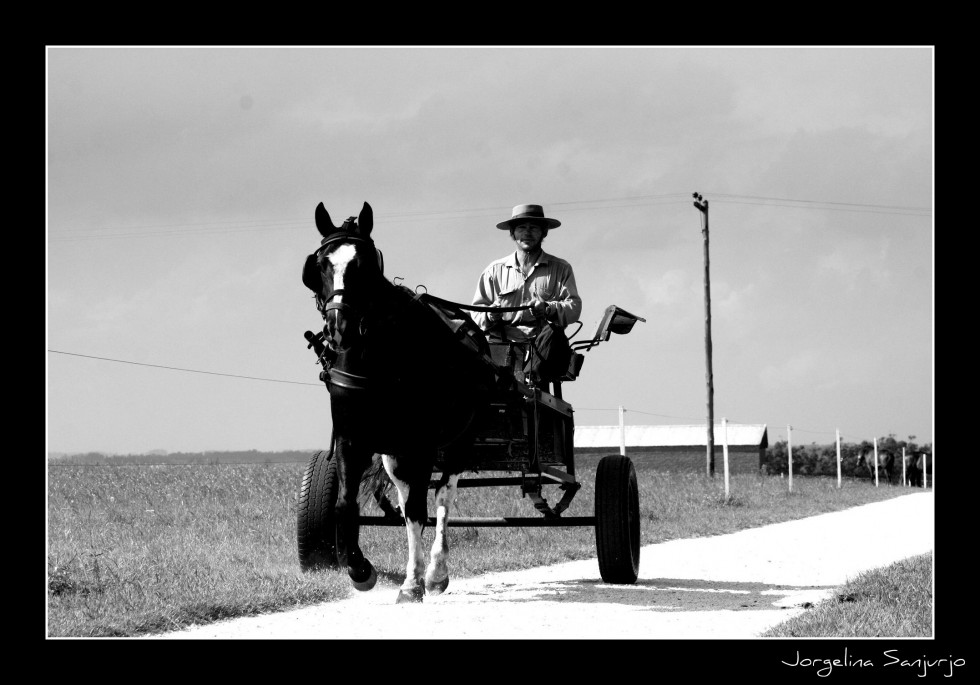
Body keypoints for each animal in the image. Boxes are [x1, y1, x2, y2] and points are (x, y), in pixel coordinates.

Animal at [300, 200, 498, 600]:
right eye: (320, 265)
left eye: (364, 264)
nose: (339, 326)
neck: (379, 360)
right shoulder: (352, 439)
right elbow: (346, 504)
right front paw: (359, 569)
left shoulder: (421, 443)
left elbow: (424, 510)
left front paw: (420, 579)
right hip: (395, 453)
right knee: (409, 503)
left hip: (456, 442)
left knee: (442, 498)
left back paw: (434, 572)